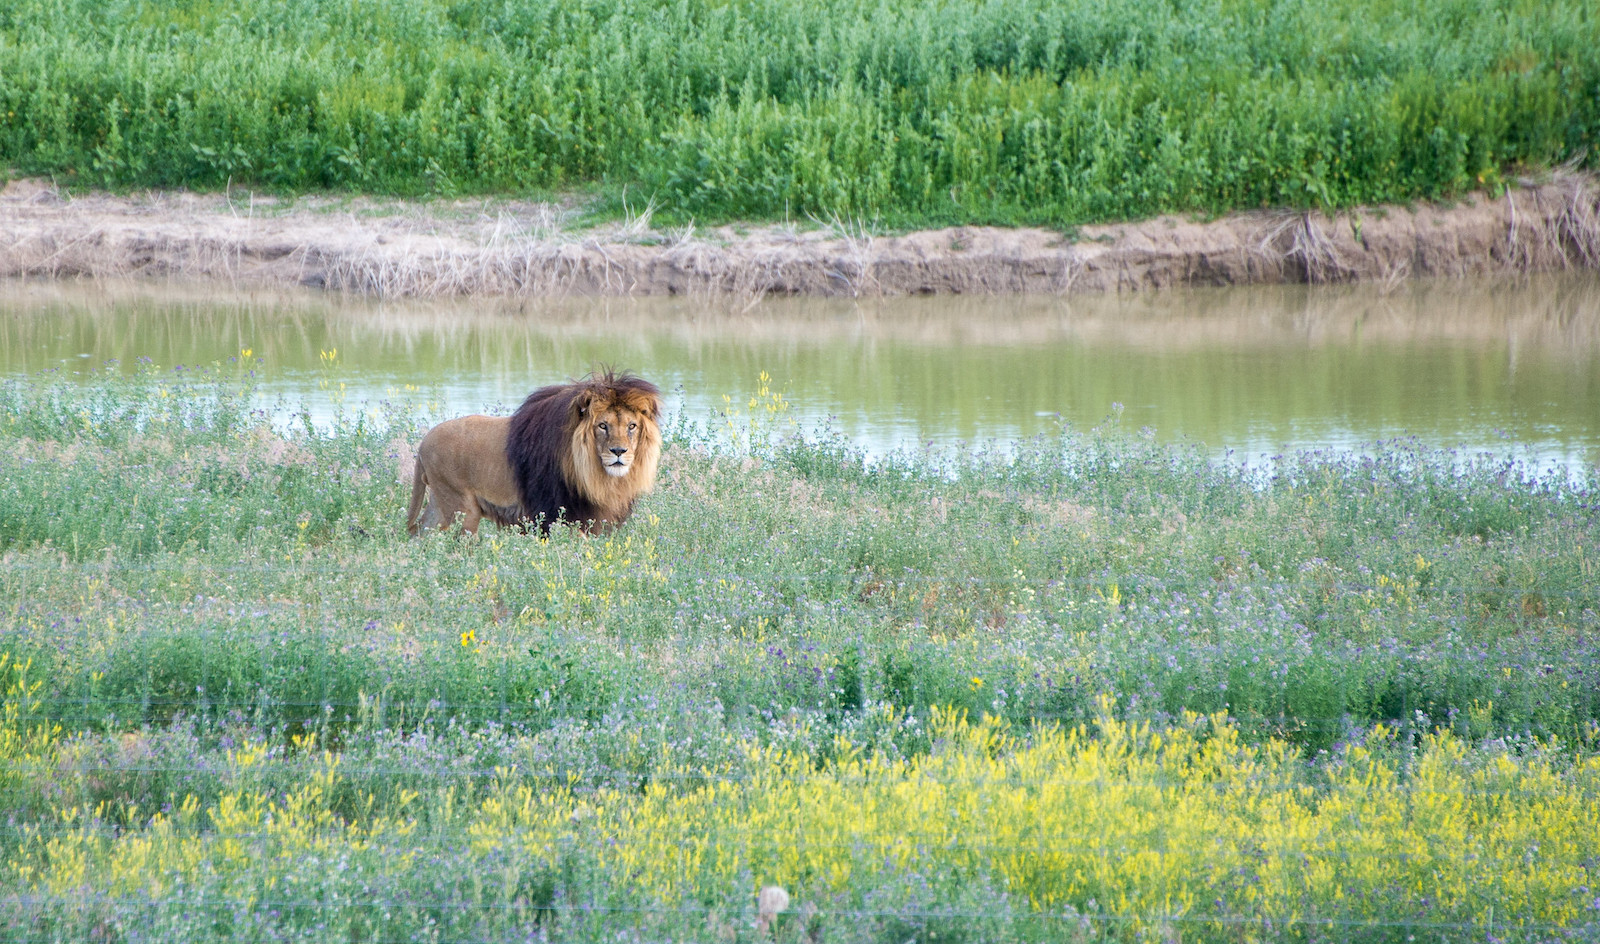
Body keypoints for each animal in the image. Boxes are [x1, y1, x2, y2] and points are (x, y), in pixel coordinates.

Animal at [412, 376, 668, 540]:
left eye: (631, 426)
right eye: (603, 426)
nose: (618, 452)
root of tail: (423, 443)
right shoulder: (554, 514)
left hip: (440, 505)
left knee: (421, 534)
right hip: (462, 509)